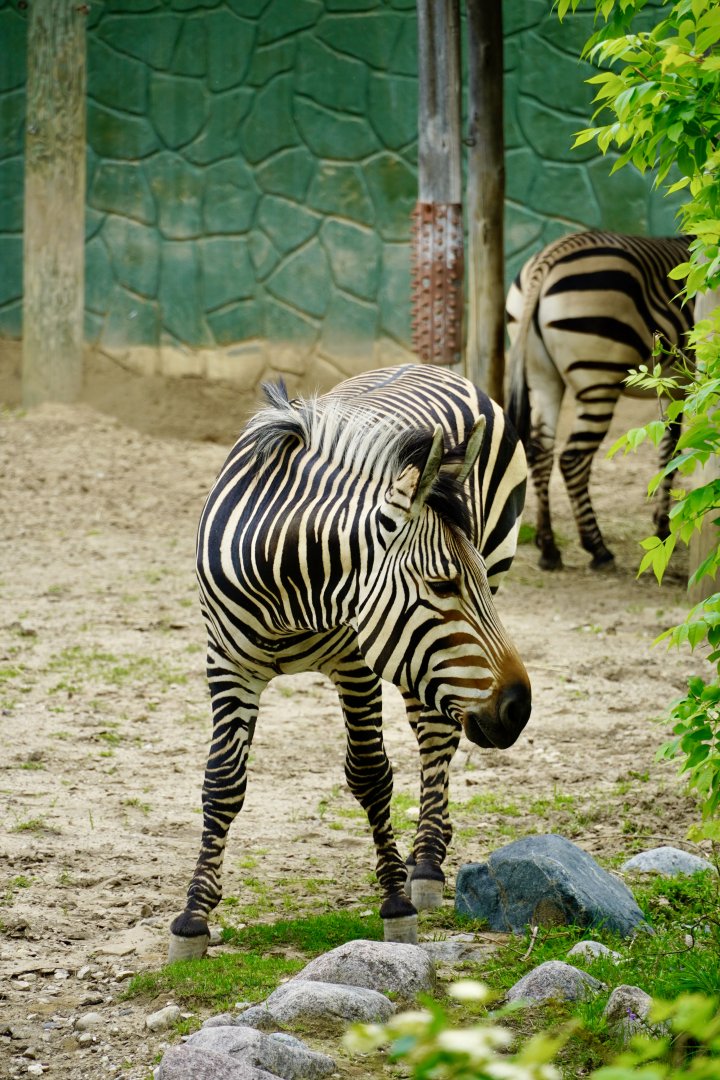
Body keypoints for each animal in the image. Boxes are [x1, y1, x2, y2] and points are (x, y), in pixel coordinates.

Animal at [169, 363, 531, 959]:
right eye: (443, 584)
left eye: (471, 577)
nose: (519, 708)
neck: (286, 585)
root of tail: (432, 366)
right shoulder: (226, 662)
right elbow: (221, 782)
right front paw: (193, 918)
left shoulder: (356, 663)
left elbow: (370, 775)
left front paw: (396, 905)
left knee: (436, 737)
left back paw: (425, 865)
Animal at [506, 230, 694, 570]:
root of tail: (548, 258)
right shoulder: (682, 387)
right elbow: (671, 453)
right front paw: (663, 527)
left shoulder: (673, 388)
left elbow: (669, 448)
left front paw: (661, 521)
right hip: (598, 378)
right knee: (572, 458)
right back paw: (597, 548)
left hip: (542, 378)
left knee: (540, 451)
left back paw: (548, 547)